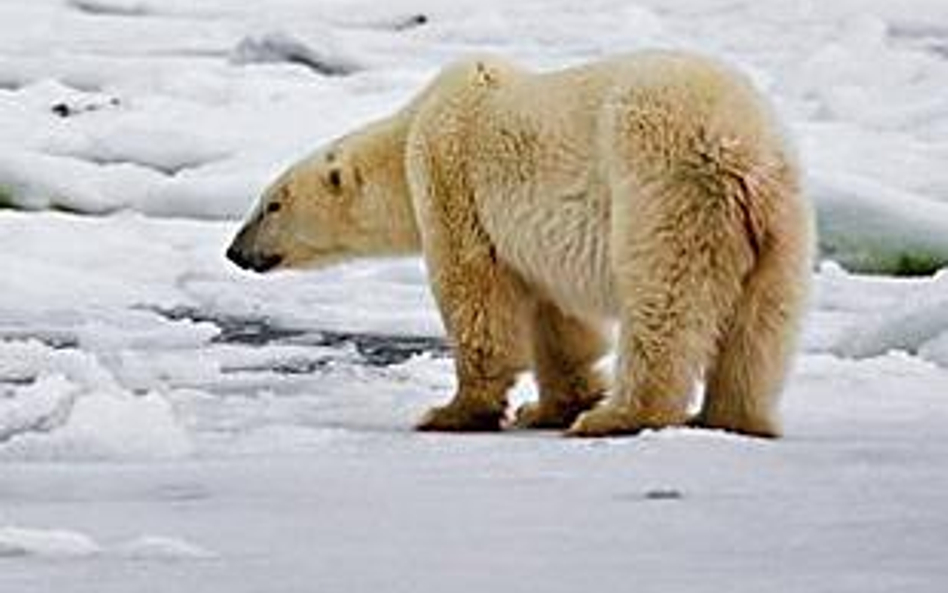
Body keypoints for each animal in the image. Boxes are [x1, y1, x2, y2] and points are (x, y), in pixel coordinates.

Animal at [226, 53, 812, 438]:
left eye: (271, 204)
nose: (234, 251)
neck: (414, 124)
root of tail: (740, 149)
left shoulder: (451, 173)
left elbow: (474, 294)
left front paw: (454, 412)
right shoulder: (533, 238)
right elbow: (556, 318)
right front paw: (552, 405)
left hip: (663, 191)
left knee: (665, 304)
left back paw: (618, 417)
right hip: (780, 226)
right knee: (761, 328)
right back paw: (729, 417)